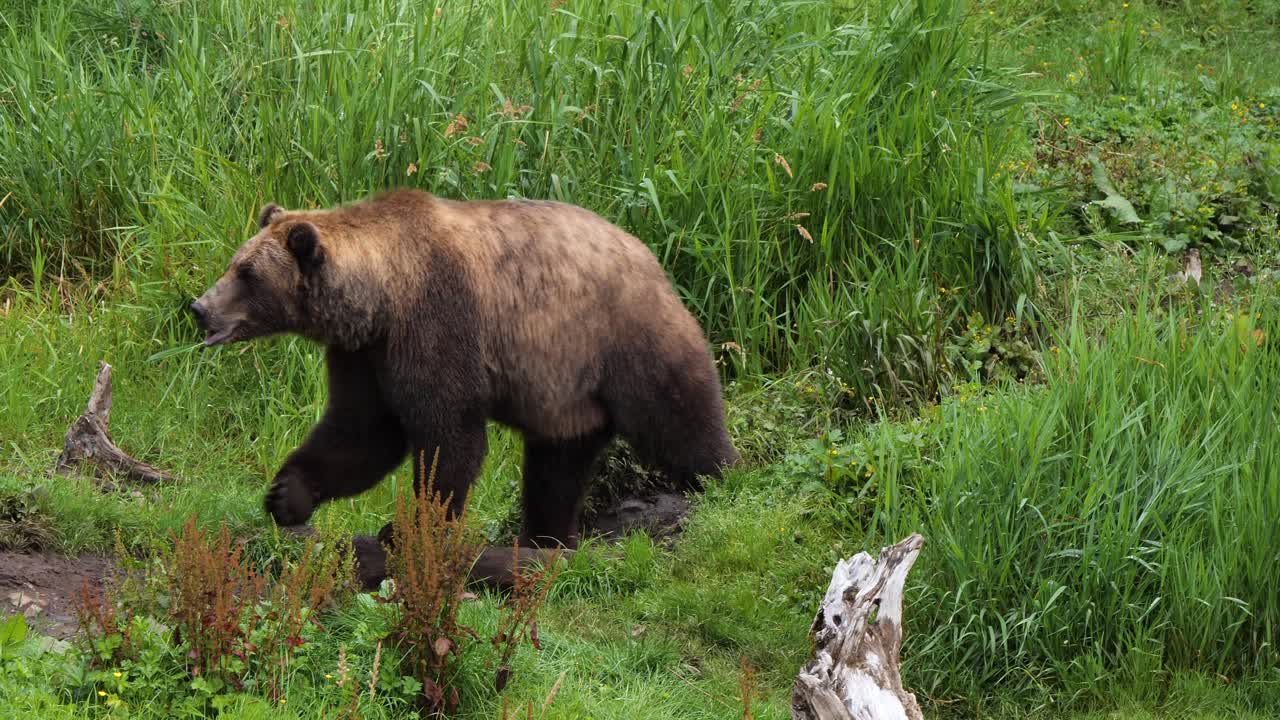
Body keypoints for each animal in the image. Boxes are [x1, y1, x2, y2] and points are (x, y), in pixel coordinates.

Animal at [190, 188, 739, 587]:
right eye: (236, 262)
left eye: (247, 273)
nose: (199, 307)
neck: (381, 298)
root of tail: (653, 259)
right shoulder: (365, 354)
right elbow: (361, 431)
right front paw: (287, 494)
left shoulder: (439, 326)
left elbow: (448, 440)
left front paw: (407, 530)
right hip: (566, 394)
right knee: (555, 470)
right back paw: (546, 539)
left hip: (621, 338)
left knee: (679, 417)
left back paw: (723, 479)